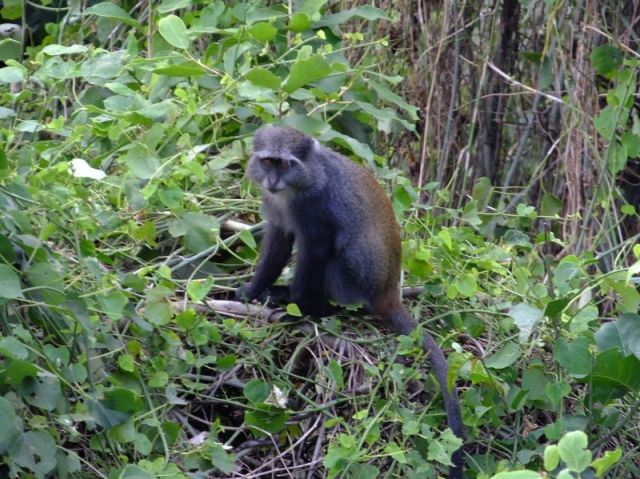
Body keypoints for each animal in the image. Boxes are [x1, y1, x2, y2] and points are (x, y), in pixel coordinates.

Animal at [236, 125, 464, 478]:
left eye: (286, 164)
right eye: (269, 162)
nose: (273, 180)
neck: (298, 186)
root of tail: (387, 293)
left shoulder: (314, 209)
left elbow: (315, 248)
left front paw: (297, 309)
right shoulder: (274, 206)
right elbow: (279, 239)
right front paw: (253, 290)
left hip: (354, 282)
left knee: (334, 256)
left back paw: (316, 308)